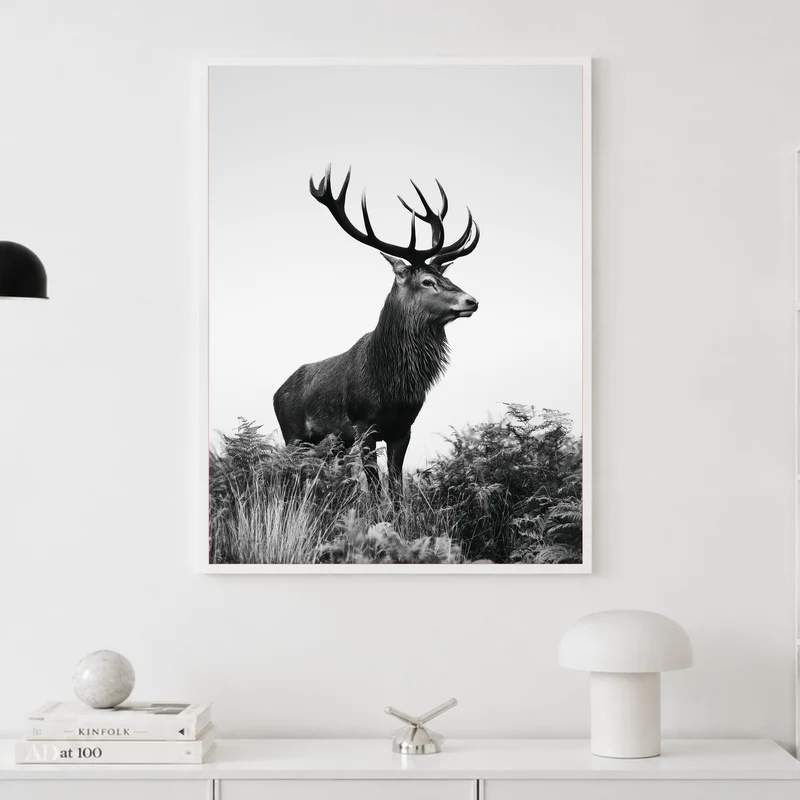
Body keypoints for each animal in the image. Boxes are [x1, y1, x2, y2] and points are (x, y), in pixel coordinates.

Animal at [273, 164, 480, 497]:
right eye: (427, 281)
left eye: (446, 277)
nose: (472, 301)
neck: (391, 385)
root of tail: (277, 392)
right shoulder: (363, 425)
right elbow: (373, 486)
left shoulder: (403, 428)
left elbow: (395, 487)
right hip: (292, 434)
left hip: (332, 444)